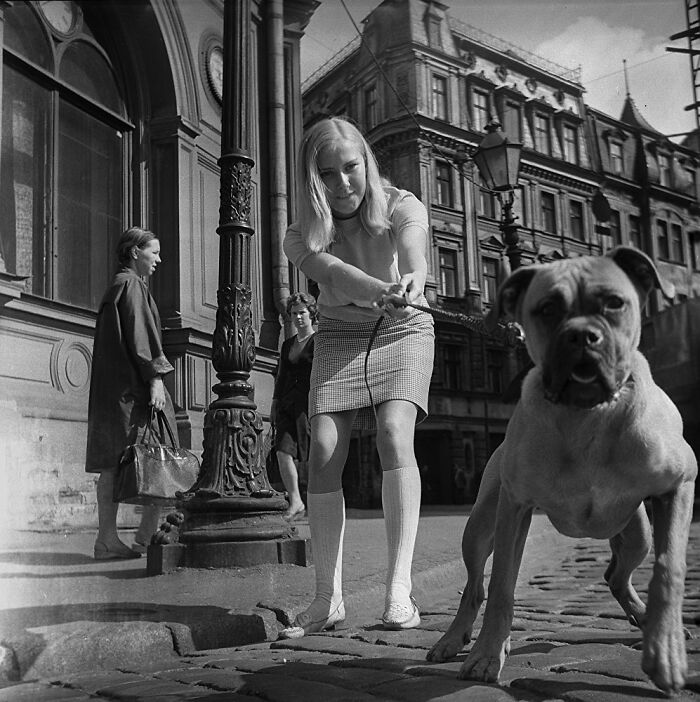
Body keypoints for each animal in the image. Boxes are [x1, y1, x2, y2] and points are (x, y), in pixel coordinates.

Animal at [430, 246, 696, 692]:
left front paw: (666, 651)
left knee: (615, 575)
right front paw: (486, 654)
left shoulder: (678, 486)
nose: (582, 335)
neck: (586, 413)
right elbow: (501, 585)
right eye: (548, 309)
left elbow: (668, 569)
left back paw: (642, 617)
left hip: (636, 533)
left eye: (614, 303)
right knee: (475, 586)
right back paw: (455, 639)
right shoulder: (514, 509)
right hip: (481, 525)